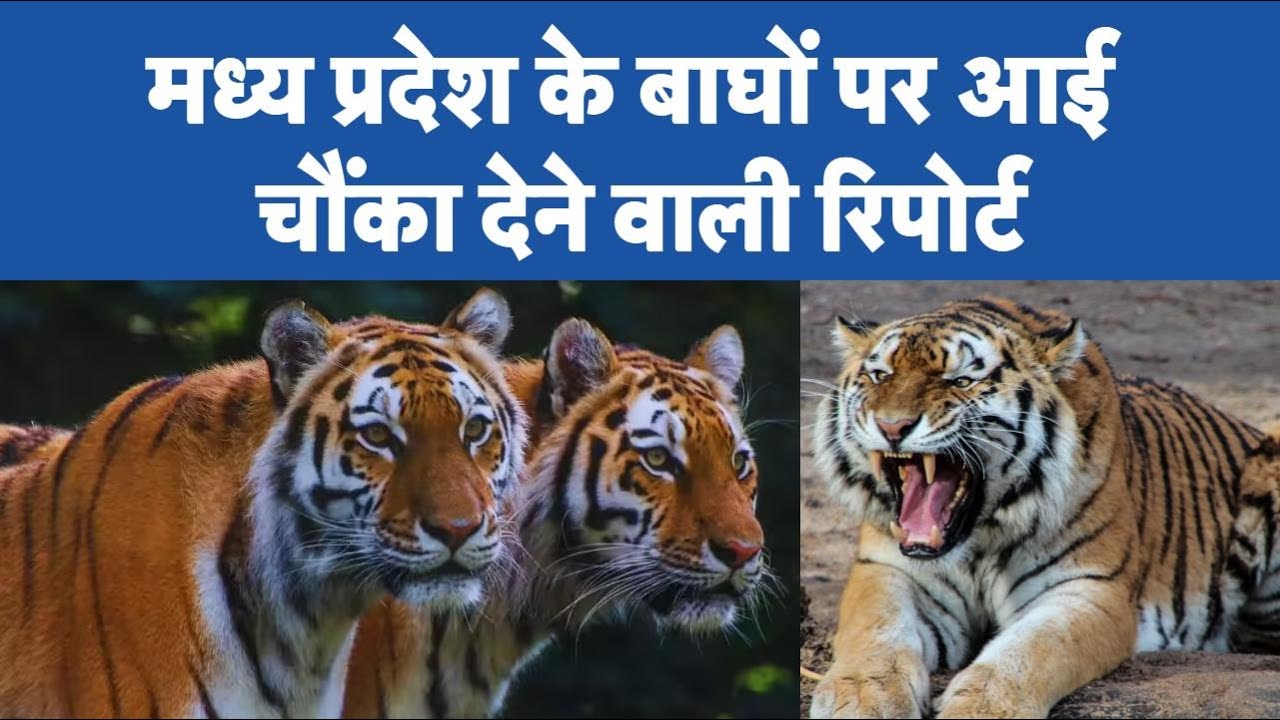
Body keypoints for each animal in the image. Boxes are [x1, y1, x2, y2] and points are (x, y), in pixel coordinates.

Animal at [809, 297, 1280, 719]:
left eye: (960, 381)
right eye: (879, 375)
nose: (892, 426)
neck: (979, 537)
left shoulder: (1089, 588)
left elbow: (1031, 650)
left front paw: (983, 709)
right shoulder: (887, 570)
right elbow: (875, 630)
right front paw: (862, 697)